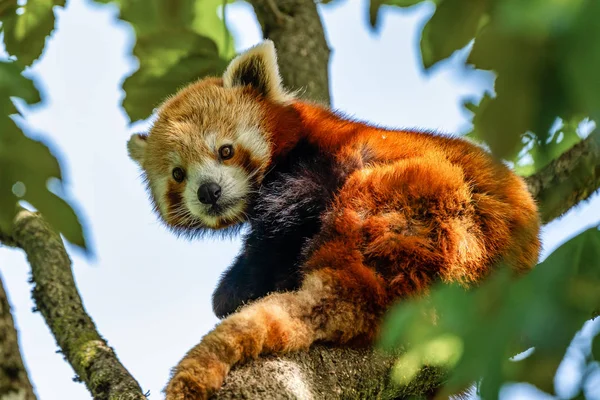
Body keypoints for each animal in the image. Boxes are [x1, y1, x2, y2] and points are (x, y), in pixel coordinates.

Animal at [126, 40, 540, 400]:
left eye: (225, 151)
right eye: (178, 174)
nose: (208, 191)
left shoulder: (323, 156)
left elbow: (291, 216)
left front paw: (236, 286)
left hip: (418, 205)